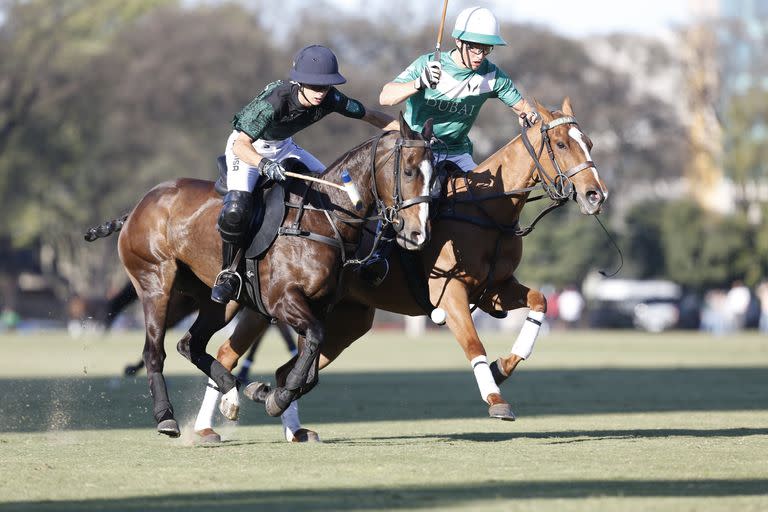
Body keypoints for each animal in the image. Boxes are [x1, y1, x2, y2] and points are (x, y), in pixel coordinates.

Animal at [108, 118, 436, 438]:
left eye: (434, 177)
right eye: (408, 171)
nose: (418, 234)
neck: (322, 218)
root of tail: (136, 208)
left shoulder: (320, 306)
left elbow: (310, 365)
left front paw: (267, 393)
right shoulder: (283, 301)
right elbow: (313, 343)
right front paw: (275, 398)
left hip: (218, 300)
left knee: (190, 344)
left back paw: (230, 393)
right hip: (156, 283)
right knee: (154, 351)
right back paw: (167, 418)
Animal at [190, 97, 608, 440]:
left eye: (588, 141)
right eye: (561, 144)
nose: (595, 195)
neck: (485, 211)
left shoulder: (495, 288)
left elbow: (539, 301)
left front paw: (503, 365)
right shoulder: (449, 292)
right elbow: (473, 343)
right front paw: (495, 398)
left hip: (350, 318)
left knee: (284, 366)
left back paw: (272, 406)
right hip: (262, 306)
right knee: (227, 352)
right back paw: (214, 419)